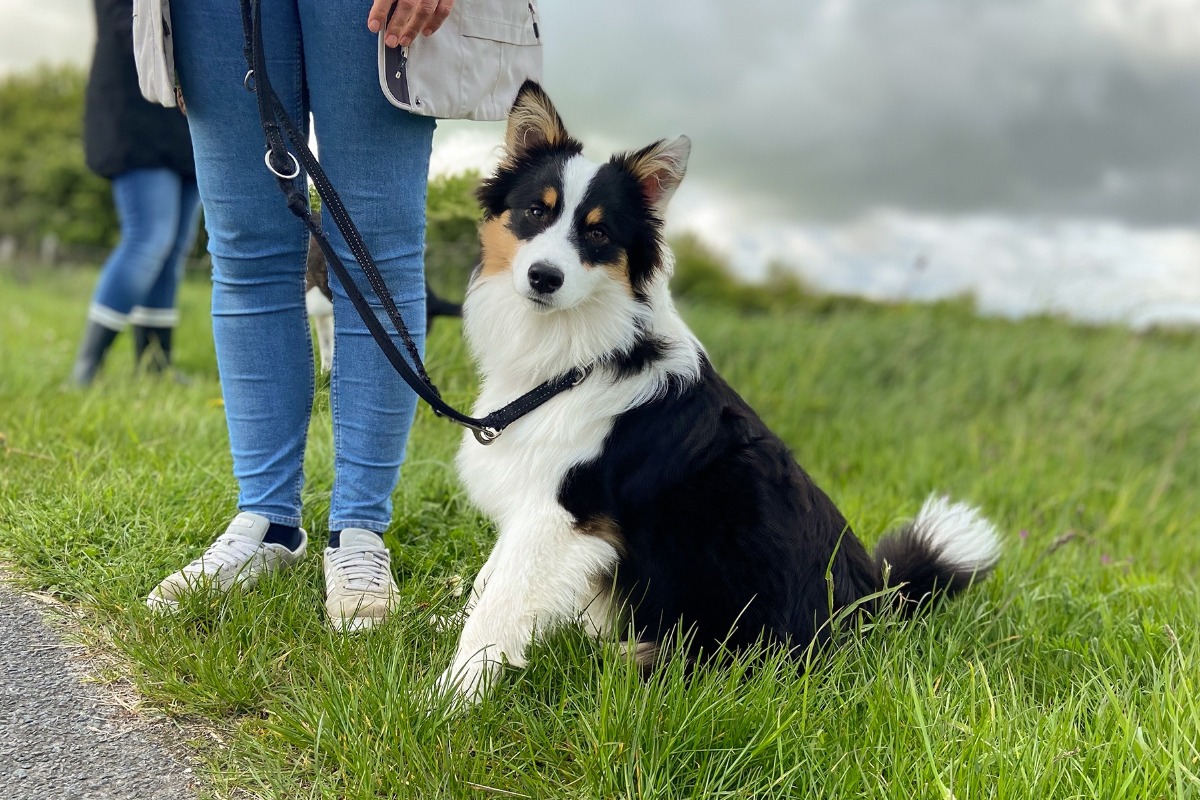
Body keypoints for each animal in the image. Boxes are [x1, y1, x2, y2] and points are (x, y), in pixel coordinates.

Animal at [441, 81, 1003, 705]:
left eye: (597, 232)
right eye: (535, 211)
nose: (544, 277)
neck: (581, 352)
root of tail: (872, 609)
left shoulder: (560, 514)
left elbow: (496, 610)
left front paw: (451, 697)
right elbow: (489, 583)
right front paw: (441, 627)